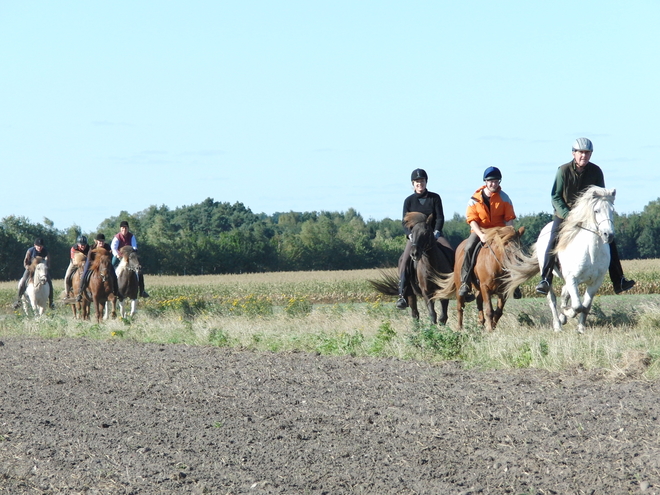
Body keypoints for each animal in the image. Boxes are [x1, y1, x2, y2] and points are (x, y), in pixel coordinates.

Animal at [502, 186, 616, 334]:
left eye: (612, 210)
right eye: (596, 210)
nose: (609, 235)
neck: (591, 251)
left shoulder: (595, 282)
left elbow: (585, 306)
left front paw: (580, 328)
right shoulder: (572, 278)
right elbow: (577, 306)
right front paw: (567, 313)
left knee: (564, 292)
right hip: (548, 275)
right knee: (552, 299)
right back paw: (558, 324)